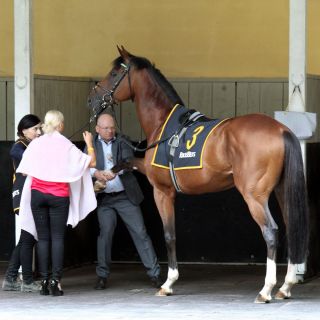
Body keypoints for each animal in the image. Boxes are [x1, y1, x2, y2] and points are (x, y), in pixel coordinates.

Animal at [86, 45, 308, 302]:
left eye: (114, 73)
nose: (92, 99)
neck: (163, 125)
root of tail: (281, 130)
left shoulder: (162, 191)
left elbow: (169, 234)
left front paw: (168, 283)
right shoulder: (148, 172)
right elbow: (126, 161)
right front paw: (102, 180)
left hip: (254, 196)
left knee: (270, 232)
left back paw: (266, 290)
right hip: (282, 191)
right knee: (291, 228)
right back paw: (285, 286)